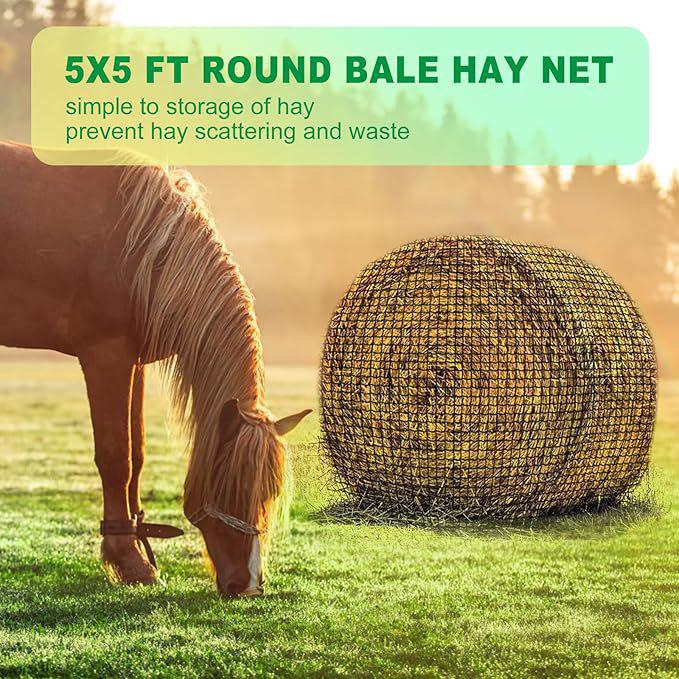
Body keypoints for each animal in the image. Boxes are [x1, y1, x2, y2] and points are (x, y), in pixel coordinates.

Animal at [0, 141, 310, 597]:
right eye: (232, 487)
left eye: (270, 492)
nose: (248, 585)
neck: (144, 247)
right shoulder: (106, 354)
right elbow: (117, 457)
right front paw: (129, 560)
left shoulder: (133, 363)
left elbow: (139, 454)